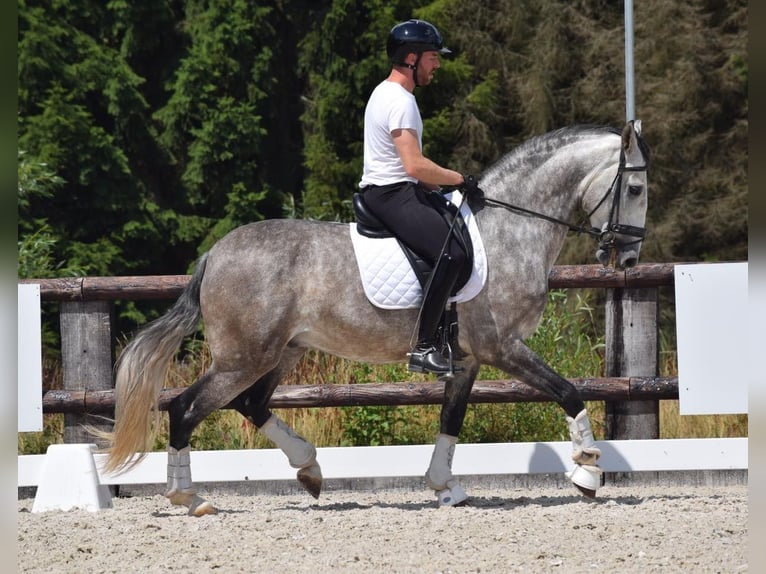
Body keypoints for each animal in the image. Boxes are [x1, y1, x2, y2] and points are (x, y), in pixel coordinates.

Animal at [100, 121, 649, 515]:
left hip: (281, 351)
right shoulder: (503, 347)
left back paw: (309, 471)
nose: (627, 259)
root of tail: (215, 254)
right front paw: (587, 473)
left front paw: (444, 488)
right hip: (244, 356)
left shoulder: (468, 359)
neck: (510, 230)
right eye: (637, 188)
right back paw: (190, 498)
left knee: (251, 405)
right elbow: (568, 392)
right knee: (185, 408)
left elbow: (451, 419)